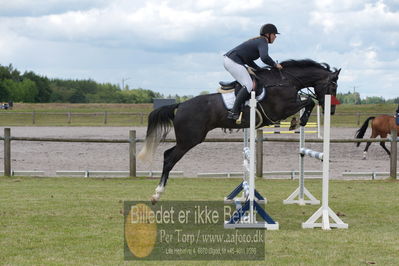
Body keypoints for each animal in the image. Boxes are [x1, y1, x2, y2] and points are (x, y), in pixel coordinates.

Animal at [138, 58, 340, 204]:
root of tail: (180, 105)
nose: (331, 111)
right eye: (333, 86)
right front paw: (299, 121)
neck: (285, 82)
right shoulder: (280, 111)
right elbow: (309, 101)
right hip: (189, 140)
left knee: (167, 155)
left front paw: (297, 121)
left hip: (189, 139)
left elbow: (308, 101)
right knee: (169, 158)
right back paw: (157, 194)